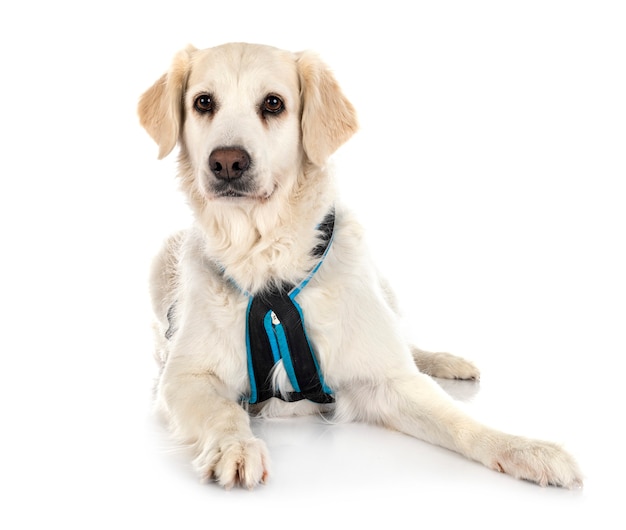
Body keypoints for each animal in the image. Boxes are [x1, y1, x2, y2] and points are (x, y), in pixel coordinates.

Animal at [136, 43, 580, 488]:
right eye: (203, 102)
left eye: (274, 103)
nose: (228, 163)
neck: (265, 256)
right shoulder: (186, 379)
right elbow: (223, 411)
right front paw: (236, 447)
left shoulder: (387, 380)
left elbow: (458, 421)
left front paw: (524, 449)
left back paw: (446, 362)